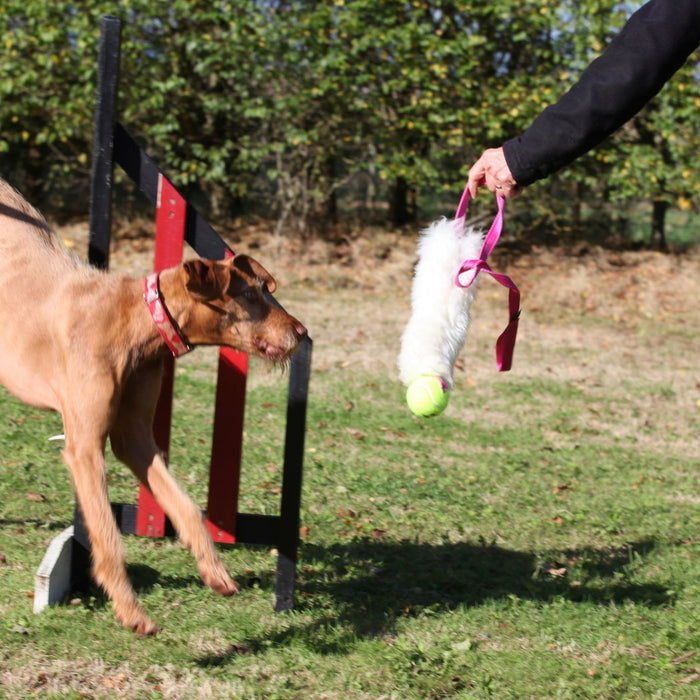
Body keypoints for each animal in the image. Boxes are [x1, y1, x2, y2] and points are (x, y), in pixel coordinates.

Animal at [0, 179, 306, 636]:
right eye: (251, 295)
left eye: (264, 291)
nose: (302, 332)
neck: (136, 322)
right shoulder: (84, 448)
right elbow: (108, 535)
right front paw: (131, 611)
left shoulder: (136, 441)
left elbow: (187, 507)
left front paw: (215, 572)